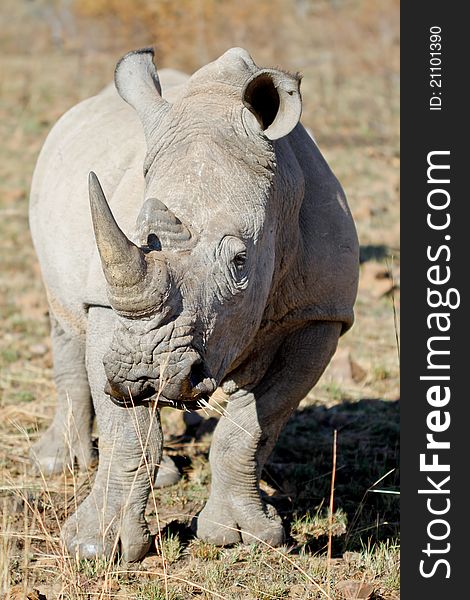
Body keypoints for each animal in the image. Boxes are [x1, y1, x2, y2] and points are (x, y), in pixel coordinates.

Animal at [29, 48, 358, 564]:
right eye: (139, 237)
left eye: (240, 261)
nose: (142, 374)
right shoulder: (108, 303)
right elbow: (127, 431)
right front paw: (93, 547)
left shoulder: (319, 314)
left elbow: (252, 426)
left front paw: (242, 536)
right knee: (63, 319)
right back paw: (56, 463)